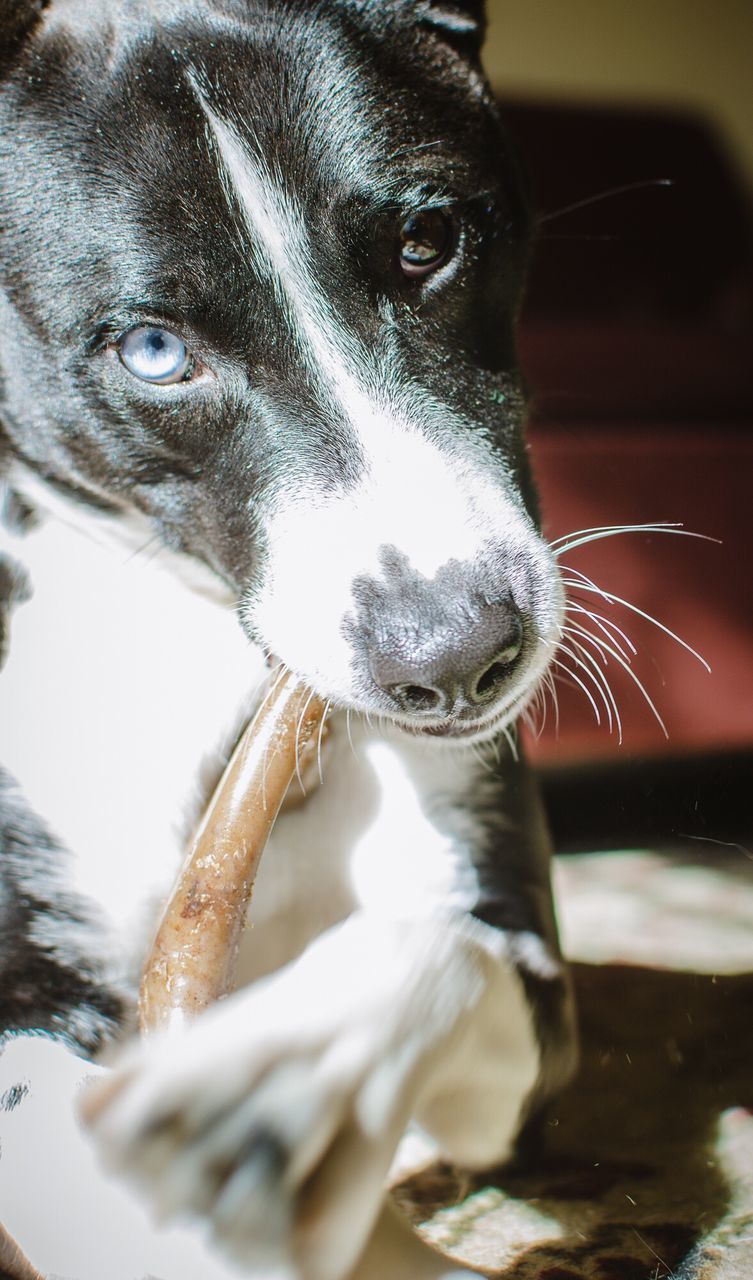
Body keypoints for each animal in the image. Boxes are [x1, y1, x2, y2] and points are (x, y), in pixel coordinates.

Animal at [0, 2, 576, 1280]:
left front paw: (278, 1083)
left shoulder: (520, 985)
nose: (455, 655)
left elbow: (435, 948)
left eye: (426, 239)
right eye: (151, 349)